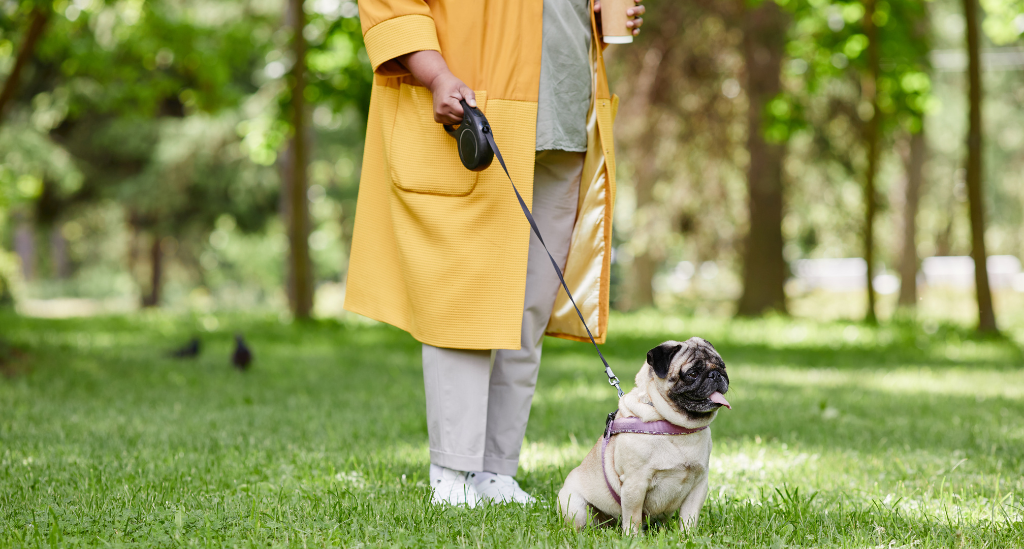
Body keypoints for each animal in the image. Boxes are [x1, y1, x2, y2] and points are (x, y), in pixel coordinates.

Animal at [561, 335, 729, 532]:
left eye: (722, 366)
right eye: (692, 374)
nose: (716, 374)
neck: (676, 427)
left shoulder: (699, 484)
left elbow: (689, 517)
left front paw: (687, 535)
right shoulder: (635, 484)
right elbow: (633, 517)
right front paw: (633, 536)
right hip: (576, 507)